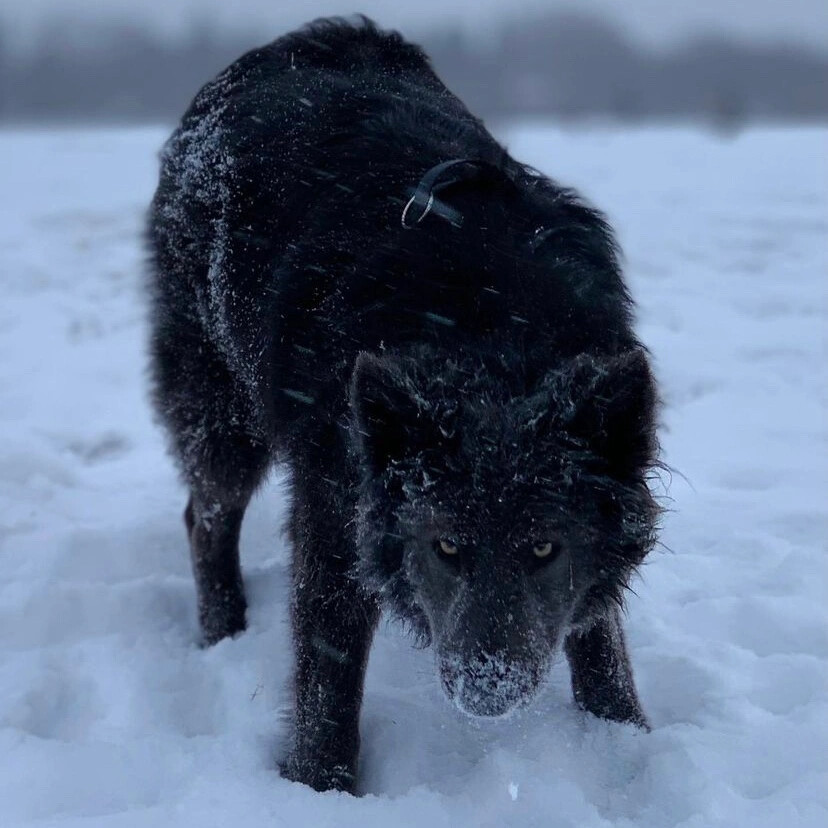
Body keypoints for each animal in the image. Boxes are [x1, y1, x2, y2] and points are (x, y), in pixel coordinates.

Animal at [144, 16, 660, 796]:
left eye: (545, 548)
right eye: (445, 546)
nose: (487, 689)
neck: (491, 340)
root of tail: (297, 38)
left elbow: (599, 636)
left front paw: (625, 742)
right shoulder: (335, 515)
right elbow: (328, 676)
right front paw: (320, 788)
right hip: (222, 412)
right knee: (205, 517)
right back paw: (224, 632)